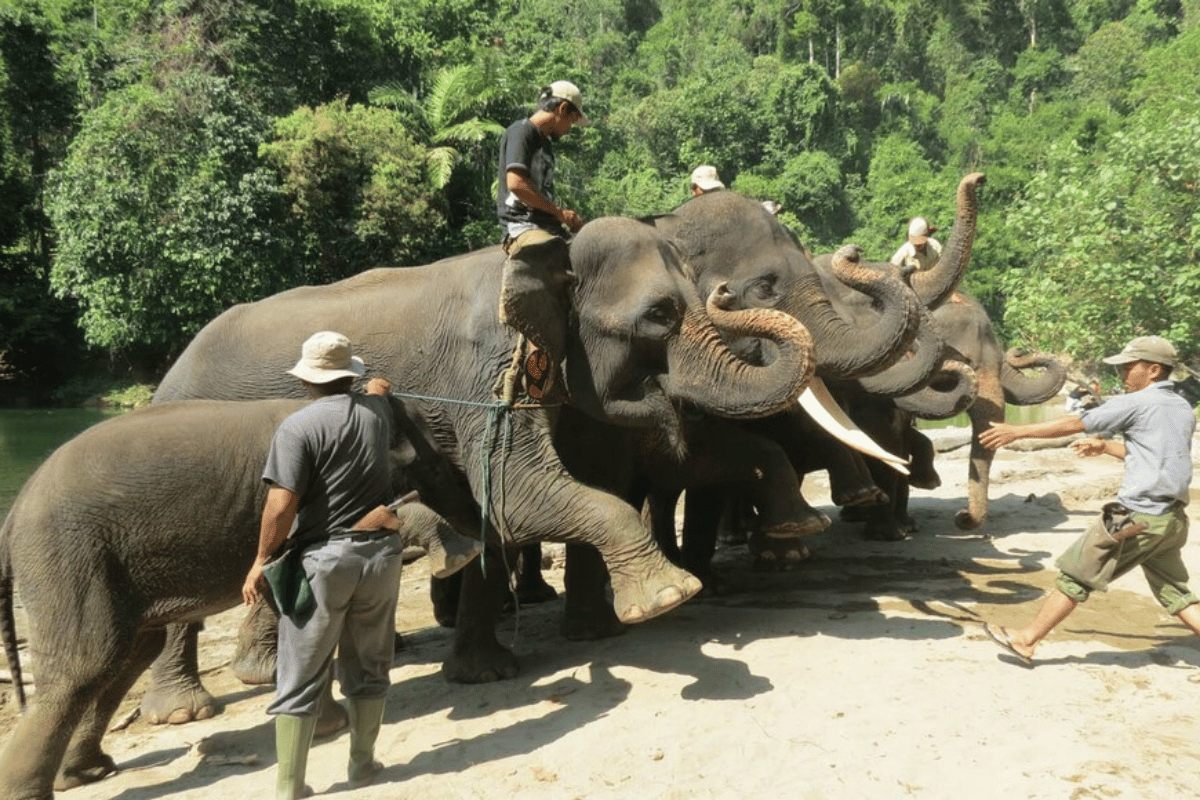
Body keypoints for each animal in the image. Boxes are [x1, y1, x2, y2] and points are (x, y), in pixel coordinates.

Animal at [0, 398, 484, 796]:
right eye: (434, 469)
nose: (479, 532)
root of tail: (14, 512)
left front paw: (327, 725)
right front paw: (457, 554)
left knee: (130, 652)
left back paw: (86, 772)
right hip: (69, 555)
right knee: (88, 663)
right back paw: (33, 790)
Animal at [142, 214, 816, 705]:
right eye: (658, 315)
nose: (729, 290)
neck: (542, 255)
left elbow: (503, 506)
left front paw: (493, 670)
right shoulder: (483, 372)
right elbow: (518, 492)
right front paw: (668, 597)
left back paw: (266, 672)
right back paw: (192, 706)